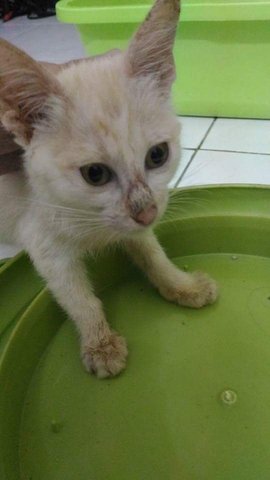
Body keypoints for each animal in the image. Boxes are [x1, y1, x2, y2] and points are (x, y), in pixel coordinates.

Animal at [0, 0, 217, 378]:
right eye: (95, 174)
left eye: (158, 155)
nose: (147, 212)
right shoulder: (44, 244)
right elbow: (77, 297)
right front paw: (100, 343)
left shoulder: (136, 224)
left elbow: (152, 253)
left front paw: (181, 285)